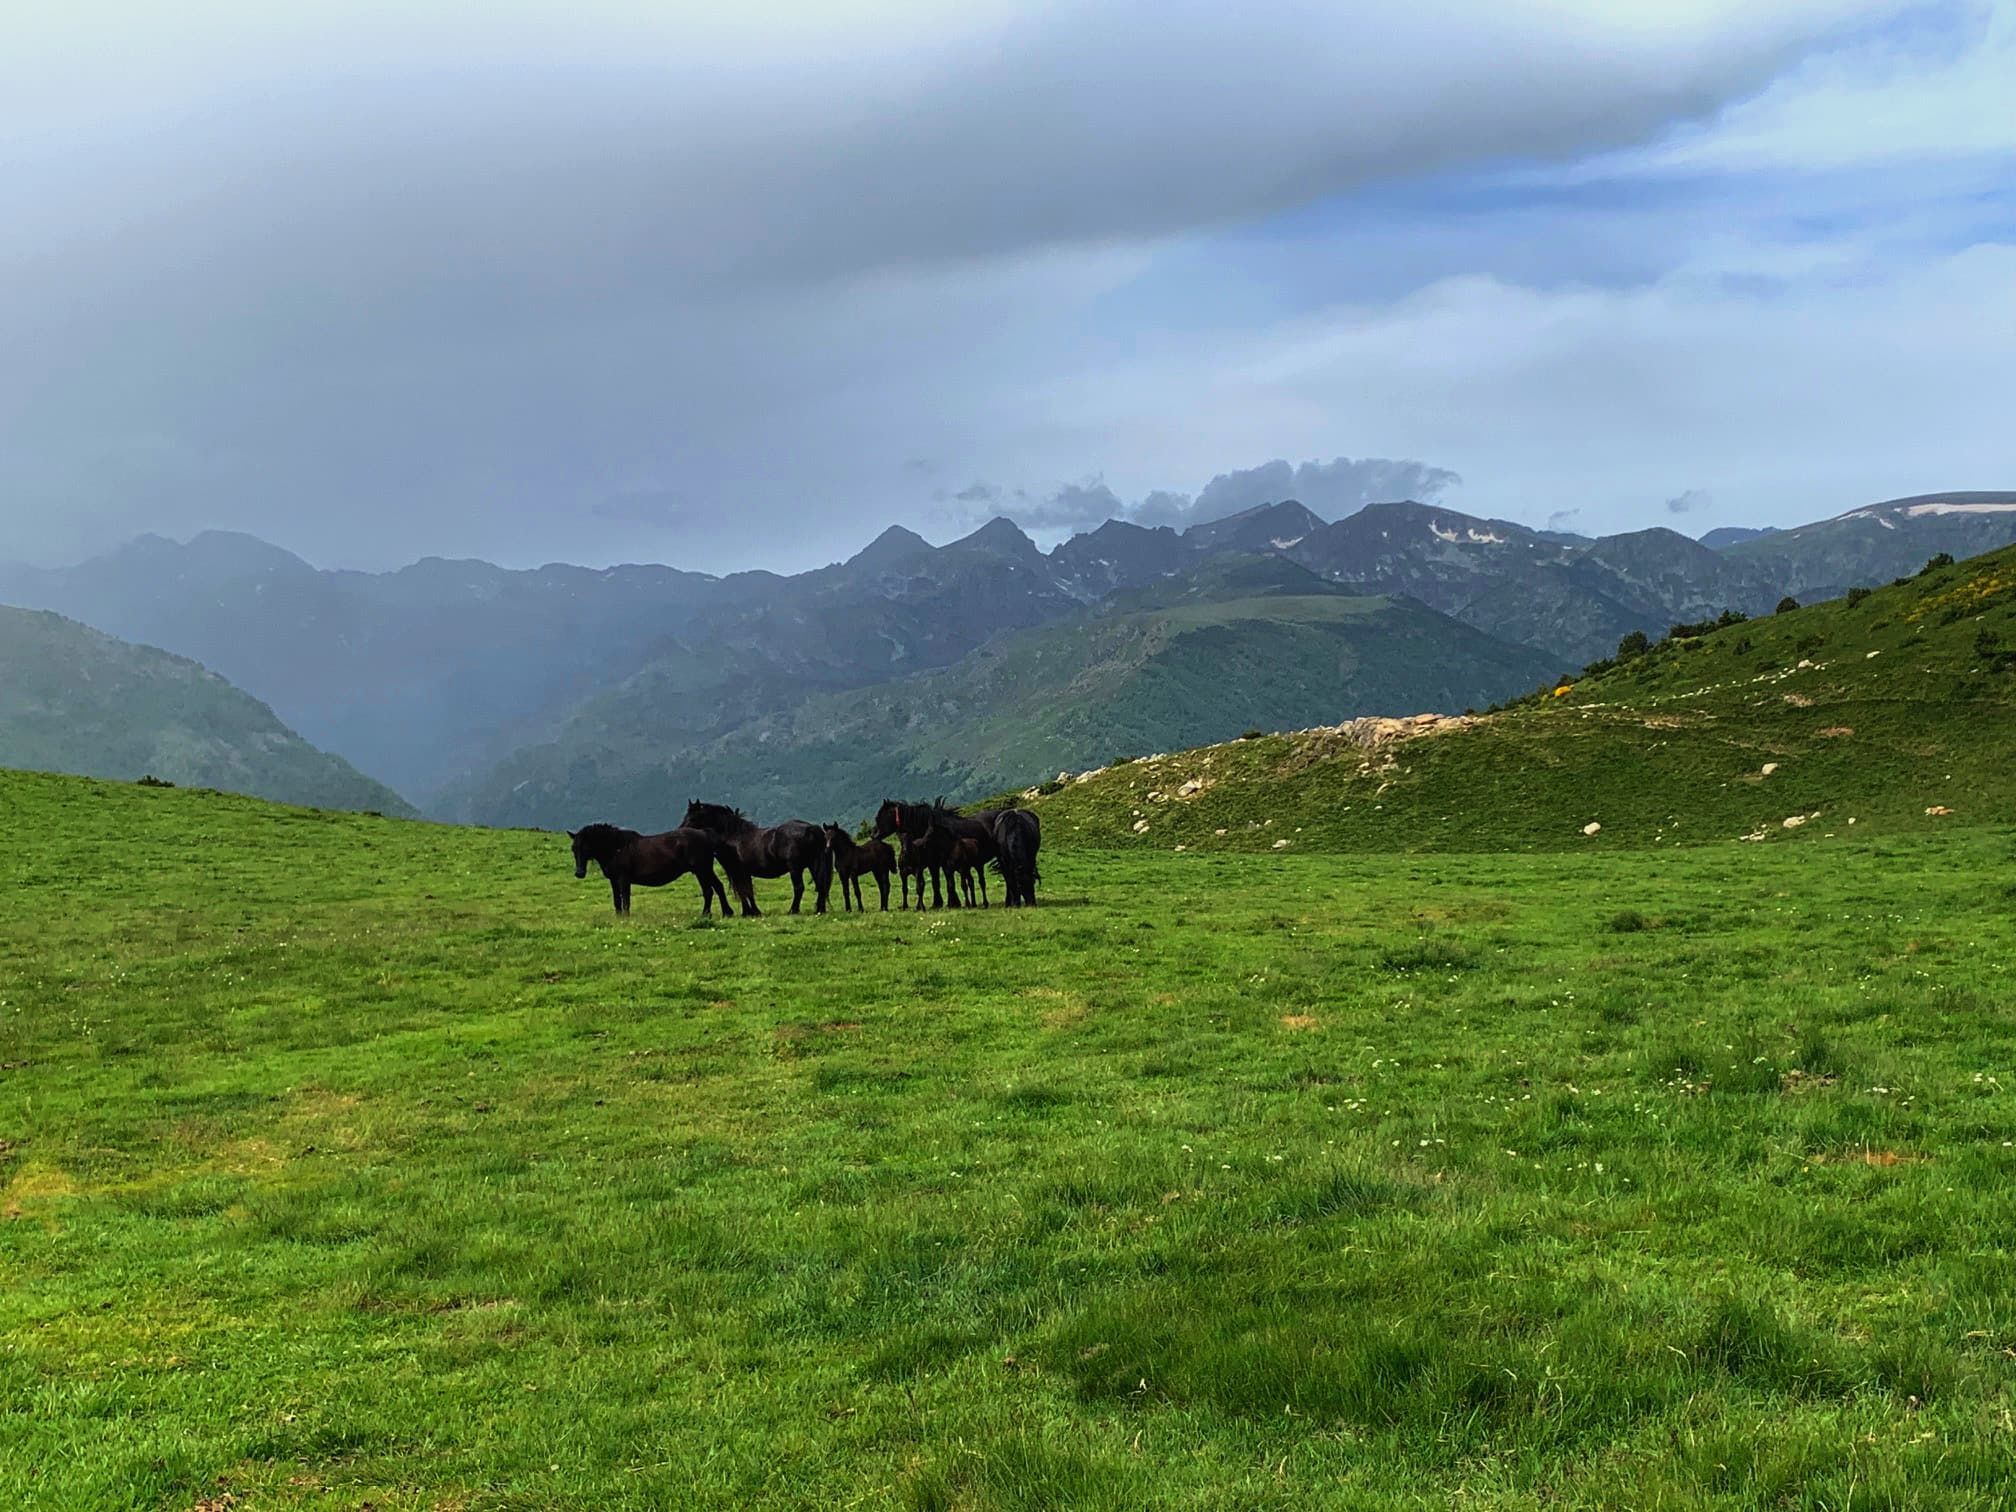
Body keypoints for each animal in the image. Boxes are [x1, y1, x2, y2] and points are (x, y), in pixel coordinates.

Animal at [568, 822, 733, 919]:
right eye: (573, 848)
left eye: (586, 847)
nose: (579, 873)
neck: (617, 848)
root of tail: (704, 833)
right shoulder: (614, 880)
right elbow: (617, 901)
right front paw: (619, 918)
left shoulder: (623, 879)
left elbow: (626, 900)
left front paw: (626, 918)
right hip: (706, 869)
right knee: (718, 887)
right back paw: (727, 913)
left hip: (701, 870)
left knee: (708, 891)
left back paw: (706, 915)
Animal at [681, 798, 830, 919]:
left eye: (692, 818)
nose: (680, 831)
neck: (733, 836)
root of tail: (811, 828)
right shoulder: (743, 872)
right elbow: (748, 891)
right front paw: (752, 912)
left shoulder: (737, 871)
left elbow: (743, 891)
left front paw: (748, 912)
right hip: (813, 865)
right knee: (820, 886)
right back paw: (820, 910)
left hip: (795, 869)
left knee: (799, 888)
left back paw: (793, 911)